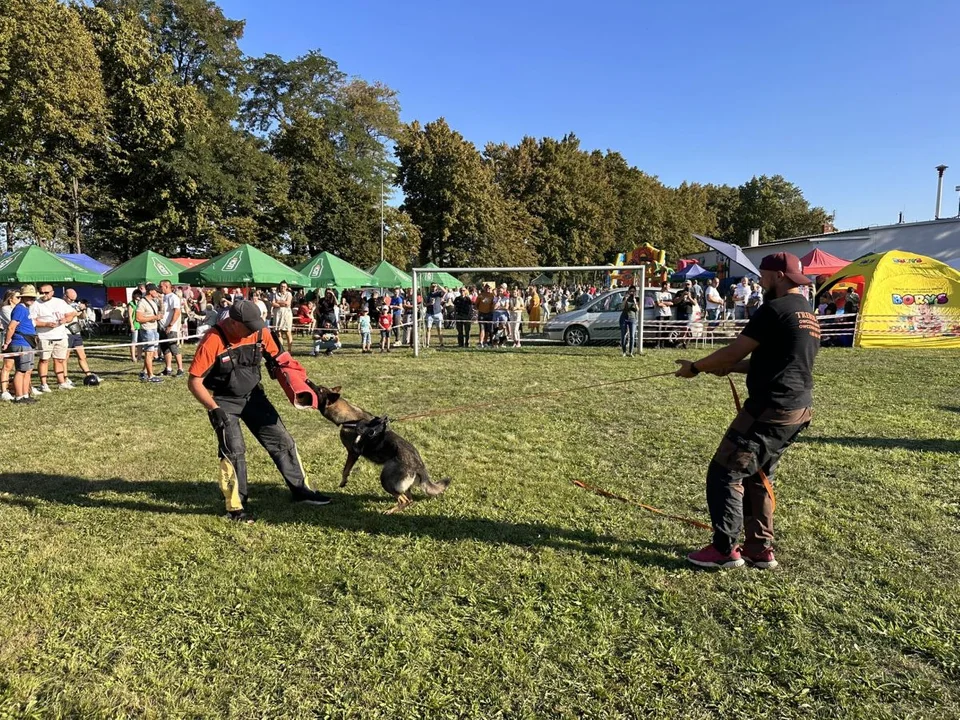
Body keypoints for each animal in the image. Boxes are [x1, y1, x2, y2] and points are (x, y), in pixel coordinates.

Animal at [300, 382, 450, 512]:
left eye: (319, 389)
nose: (307, 380)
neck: (350, 419)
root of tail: (420, 466)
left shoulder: (353, 453)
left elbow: (345, 470)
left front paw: (343, 482)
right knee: (409, 499)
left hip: (386, 479)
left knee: (404, 500)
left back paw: (390, 511)